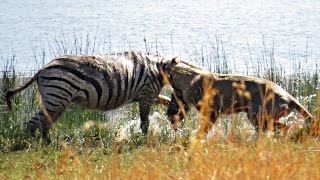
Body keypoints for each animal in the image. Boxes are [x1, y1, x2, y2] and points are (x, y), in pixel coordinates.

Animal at [6, 51, 180, 145]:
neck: (158, 69)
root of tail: (41, 70)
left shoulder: (149, 95)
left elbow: (164, 100)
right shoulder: (146, 94)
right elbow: (145, 122)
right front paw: (145, 140)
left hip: (58, 101)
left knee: (44, 123)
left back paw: (48, 144)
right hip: (56, 98)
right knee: (32, 123)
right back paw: (31, 146)